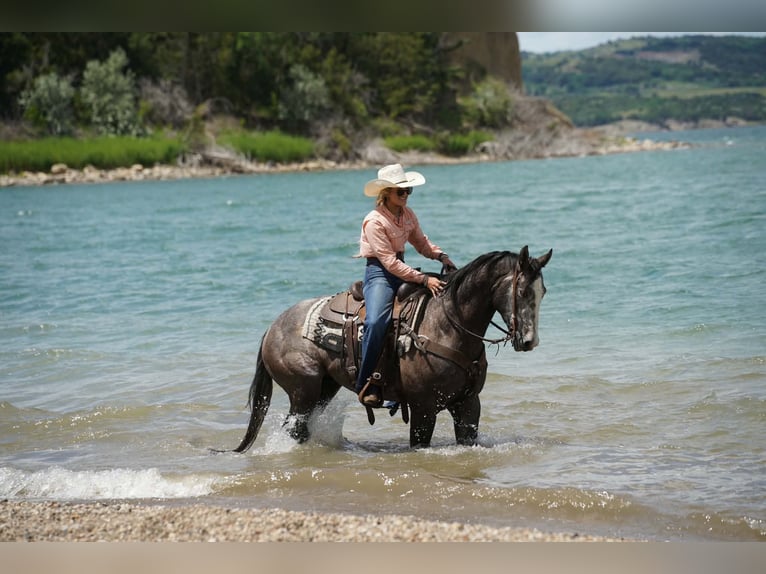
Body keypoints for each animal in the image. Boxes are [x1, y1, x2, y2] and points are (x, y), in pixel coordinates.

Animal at [227, 246, 552, 451]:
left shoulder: (469, 404)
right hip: (302, 391)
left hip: (324, 388)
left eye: (543, 291)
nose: (529, 341)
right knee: (295, 427)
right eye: (523, 291)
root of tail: (273, 326)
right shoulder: (423, 408)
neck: (448, 324)